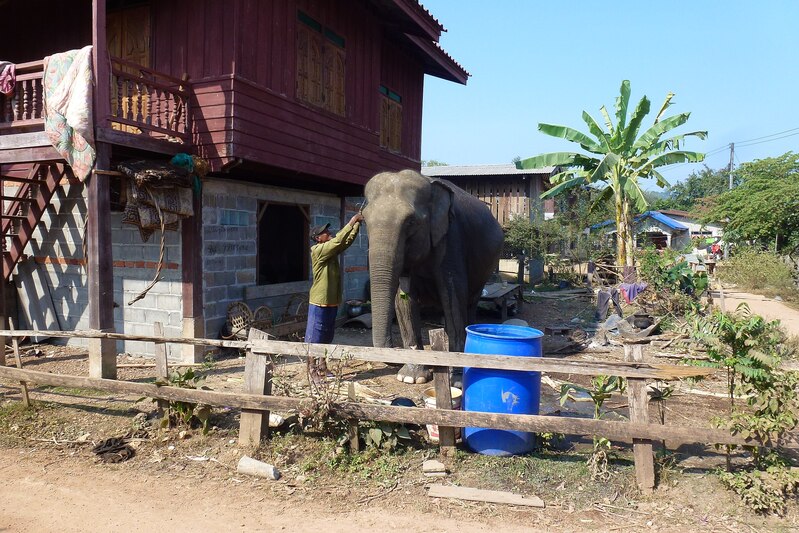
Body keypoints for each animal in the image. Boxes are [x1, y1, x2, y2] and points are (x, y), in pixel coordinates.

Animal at [364, 168, 504, 380]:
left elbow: (452, 297)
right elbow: (404, 300)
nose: (394, 352)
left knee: (469, 304)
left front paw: (457, 380)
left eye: (411, 221)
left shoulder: (451, 237)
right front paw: (411, 377)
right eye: (363, 219)